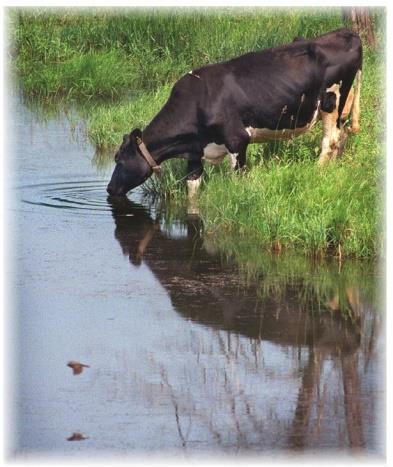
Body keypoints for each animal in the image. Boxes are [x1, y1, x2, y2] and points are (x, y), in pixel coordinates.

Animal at [106, 27, 362, 197]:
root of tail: (347, 32)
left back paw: (319, 173)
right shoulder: (195, 154)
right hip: (343, 107)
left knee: (329, 141)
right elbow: (192, 192)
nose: (109, 188)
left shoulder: (237, 140)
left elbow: (239, 181)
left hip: (332, 102)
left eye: (119, 158)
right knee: (341, 138)